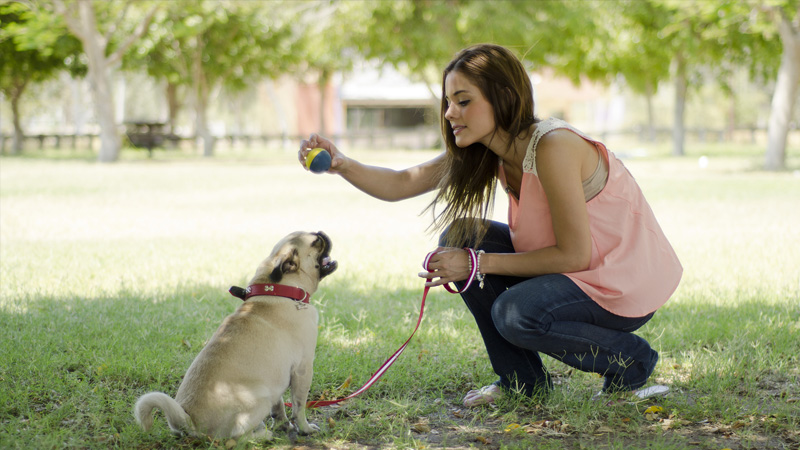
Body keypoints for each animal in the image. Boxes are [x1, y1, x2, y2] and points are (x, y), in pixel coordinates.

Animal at [134, 232, 338, 440]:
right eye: (316, 241)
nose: (322, 233)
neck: (282, 291)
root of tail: (191, 422)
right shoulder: (303, 369)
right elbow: (299, 406)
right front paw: (305, 428)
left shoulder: (278, 377)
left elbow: (279, 407)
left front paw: (283, 425)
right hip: (261, 397)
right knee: (236, 437)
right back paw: (263, 435)